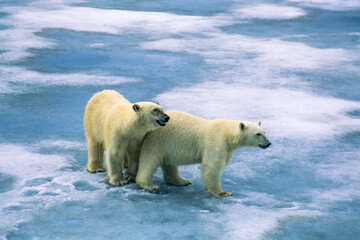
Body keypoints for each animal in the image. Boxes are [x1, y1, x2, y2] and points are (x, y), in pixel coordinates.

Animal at [136, 110, 272, 197]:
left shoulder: (228, 149)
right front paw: (223, 193)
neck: (228, 134)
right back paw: (149, 185)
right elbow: (212, 166)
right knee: (150, 160)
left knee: (169, 163)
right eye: (258, 134)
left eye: (264, 132)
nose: (268, 143)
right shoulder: (216, 142)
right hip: (158, 140)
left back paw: (181, 181)